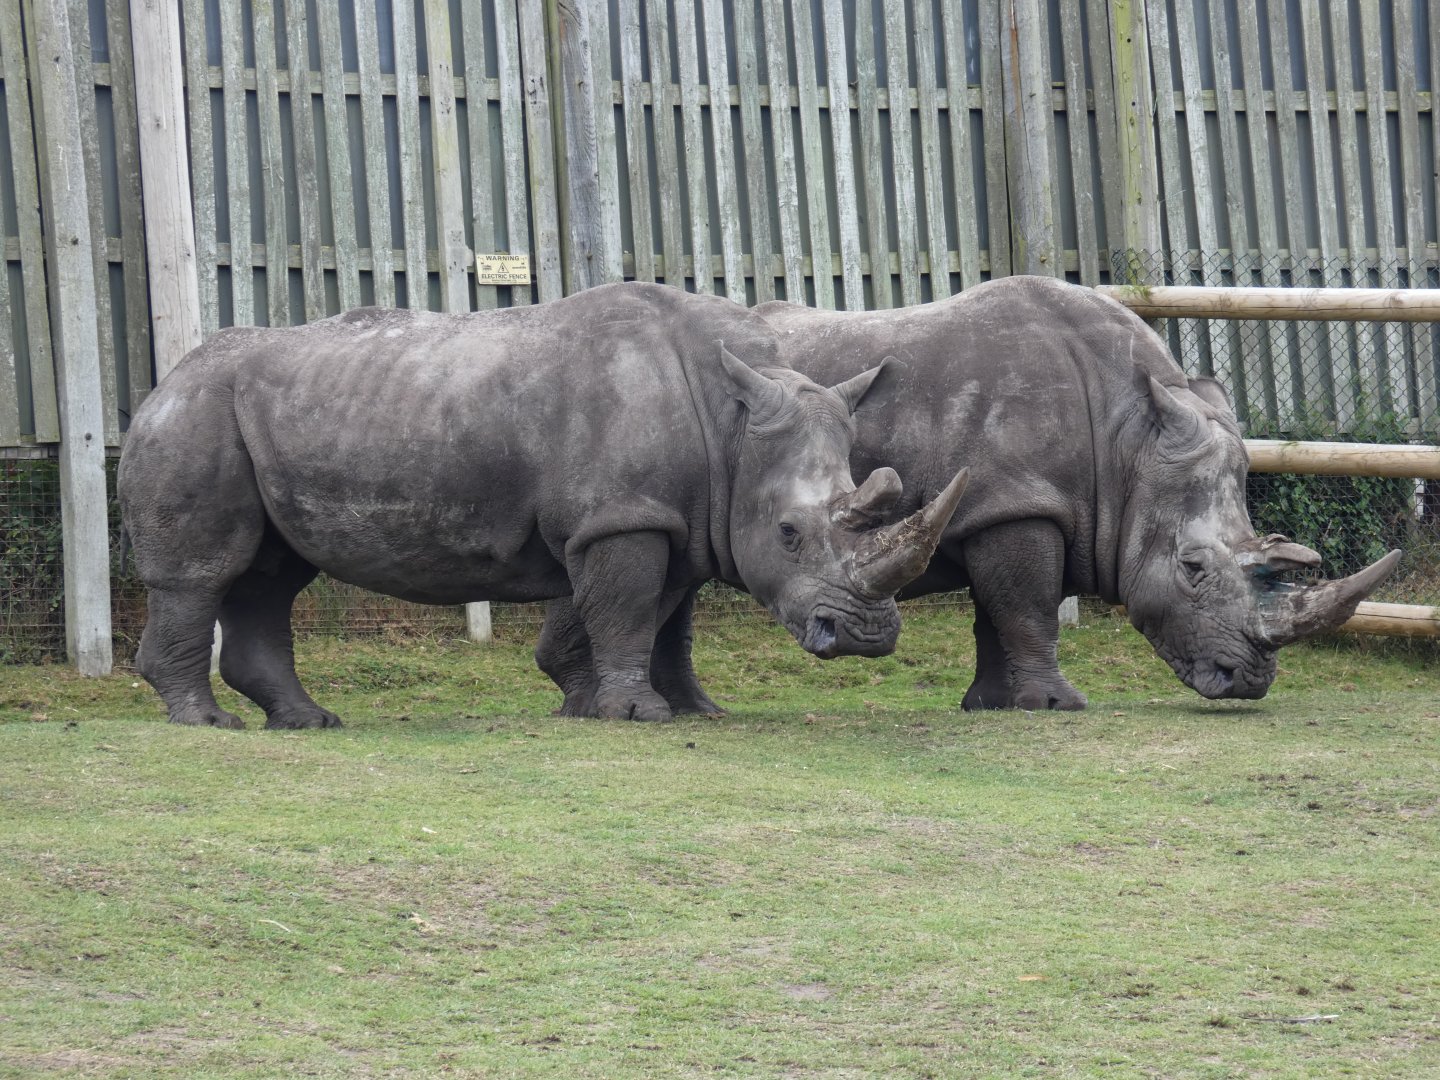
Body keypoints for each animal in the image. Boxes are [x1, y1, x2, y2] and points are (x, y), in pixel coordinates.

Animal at [118, 283, 968, 729]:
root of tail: (158, 382)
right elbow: (628, 610)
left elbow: (656, 613)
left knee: (270, 576)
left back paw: (309, 723)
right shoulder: (623, 516)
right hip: (198, 413)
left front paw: (648, 708)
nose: (865, 638)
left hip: (251, 412)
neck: (730, 426)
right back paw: (209, 724)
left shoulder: (663, 514)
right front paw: (637, 715)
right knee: (208, 572)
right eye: (790, 532)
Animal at [541, 275, 1398, 711]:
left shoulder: (1000, 505)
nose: (1247, 683)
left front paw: (990, 703)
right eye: (1193, 570)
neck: (1129, 437)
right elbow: (1026, 605)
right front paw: (1054, 706)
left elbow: (999, 612)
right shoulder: (1016, 503)